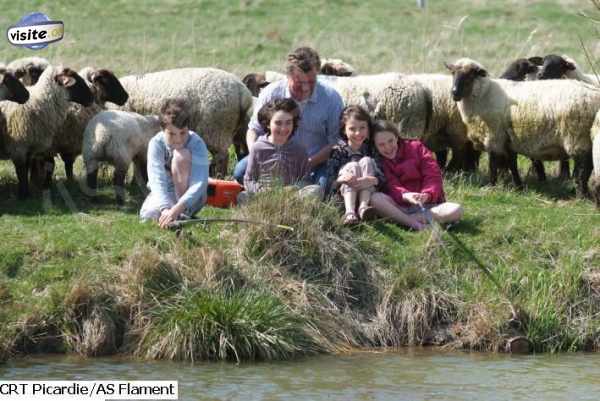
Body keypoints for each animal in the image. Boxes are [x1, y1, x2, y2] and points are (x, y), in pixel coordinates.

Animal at [0, 65, 94, 198]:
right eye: (76, 81)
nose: (92, 98)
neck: (39, 102)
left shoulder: (29, 148)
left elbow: (27, 169)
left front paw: (28, 192)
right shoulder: (18, 147)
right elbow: (21, 172)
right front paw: (23, 195)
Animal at [446, 58, 600, 197]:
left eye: (470, 75)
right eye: (453, 73)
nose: (454, 93)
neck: (485, 94)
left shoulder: (494, 136)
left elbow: (493, 164)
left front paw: (492, 185)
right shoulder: (508, 139)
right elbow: (512, 164)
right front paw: (518, 186)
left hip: (577, 137)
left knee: (583, 169)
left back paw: (581, 195)